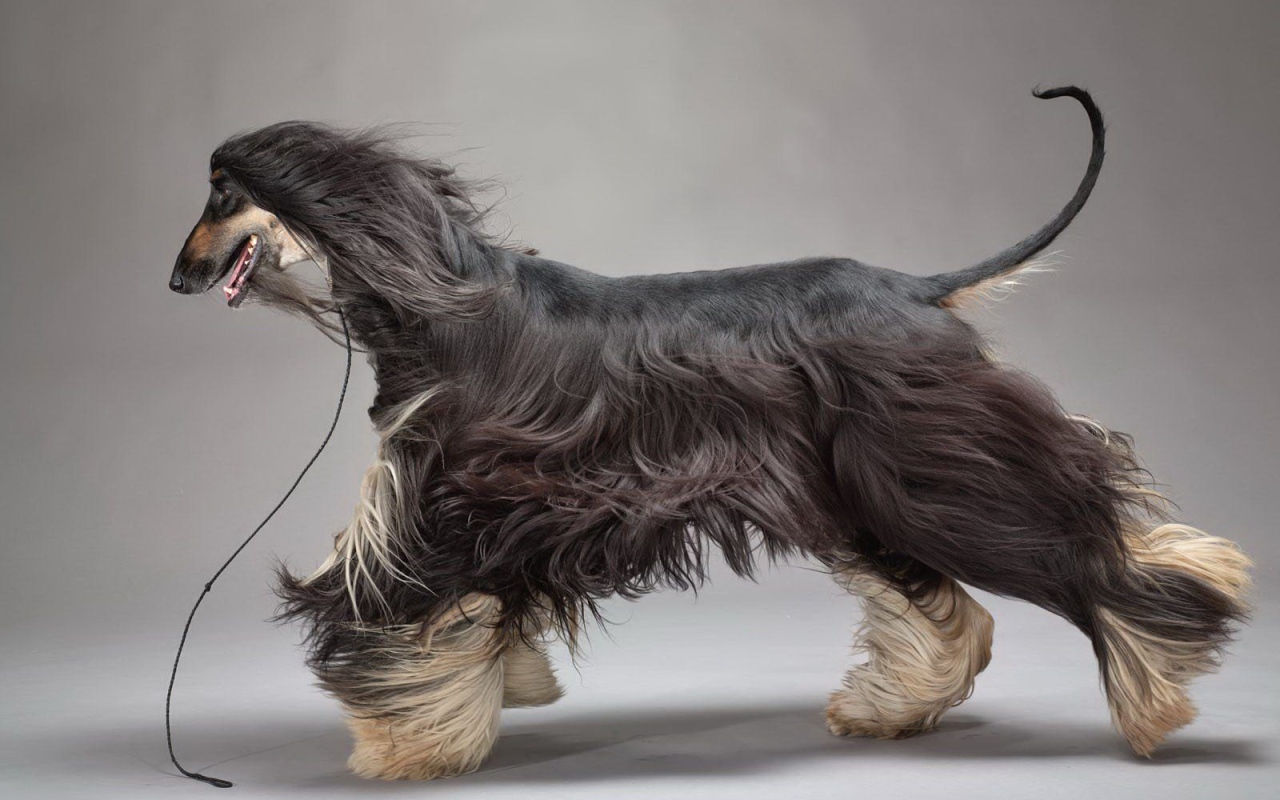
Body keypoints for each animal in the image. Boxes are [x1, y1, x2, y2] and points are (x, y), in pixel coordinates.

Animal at [169, 87, 1250, 780]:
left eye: (222, 191)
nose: (177, 277)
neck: (437, 300)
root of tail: (914, 288)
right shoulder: (508, 506)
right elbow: (475, 617)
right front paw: (488, 696)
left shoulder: (445, 499)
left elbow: (402, 614)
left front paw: (399, 745)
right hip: (864, 484)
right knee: (955, 612)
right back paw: (889, 710)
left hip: (930, 462)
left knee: (1087, 552)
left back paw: (1157, 686)